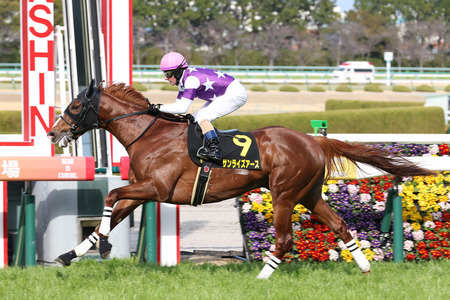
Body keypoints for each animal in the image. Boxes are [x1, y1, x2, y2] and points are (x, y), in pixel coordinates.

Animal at [48, 81, 432, 278]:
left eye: (74, 107)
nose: (53, 133)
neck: (150, 133)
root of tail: (313, 140)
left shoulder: (156, 188)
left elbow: (111, 197)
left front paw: (104, 246)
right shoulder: (145, 190)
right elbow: (114, 211)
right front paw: (71, 254)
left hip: (284, 194)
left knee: (285, 239)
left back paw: (262, 278)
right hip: (309, 193)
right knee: (338, 224)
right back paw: (365, 267)